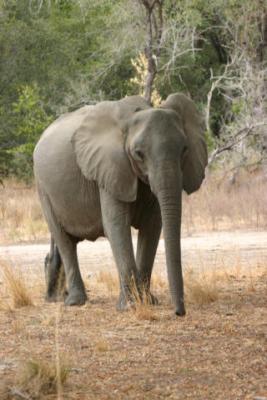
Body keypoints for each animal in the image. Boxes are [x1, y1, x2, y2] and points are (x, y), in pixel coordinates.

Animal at [33, 94, 208, 316]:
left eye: (185, 150)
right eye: (138, 153)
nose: (179, 312)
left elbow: (152, 227)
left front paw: (148, 302)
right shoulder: (109, 168)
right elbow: (117, 226)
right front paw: (131, 306)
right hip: (42, 188)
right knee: (63, 240)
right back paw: (75, 302)